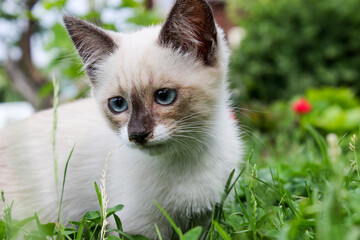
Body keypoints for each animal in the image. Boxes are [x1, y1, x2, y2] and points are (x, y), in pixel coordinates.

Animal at [0, 0, 243, 238]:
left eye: (164, 96)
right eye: (118, 104)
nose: (137, 135)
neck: (185, 157)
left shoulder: (205, 218)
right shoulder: (139, 226)